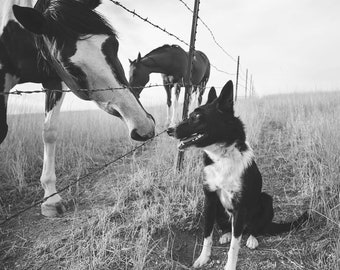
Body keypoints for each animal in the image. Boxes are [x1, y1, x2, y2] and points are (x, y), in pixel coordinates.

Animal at [0, 0, 155, 217]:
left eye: (114, 44)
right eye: (70, 67)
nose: (144, 128)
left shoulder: (54, 81)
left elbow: (50, 132)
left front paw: (51, 198)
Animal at [167, 80, 308, 270]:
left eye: (196, 116)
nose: (169, 130)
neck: (222, 157)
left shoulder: (240, 207)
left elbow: (235, 246)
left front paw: (230, 265)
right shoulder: (209, 200)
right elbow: (207, 235)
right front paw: (203, 258)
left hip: (265, 199)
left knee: (254, 229)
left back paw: (252, 239)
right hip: (220, 210)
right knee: (228, 228)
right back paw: (226, 234)